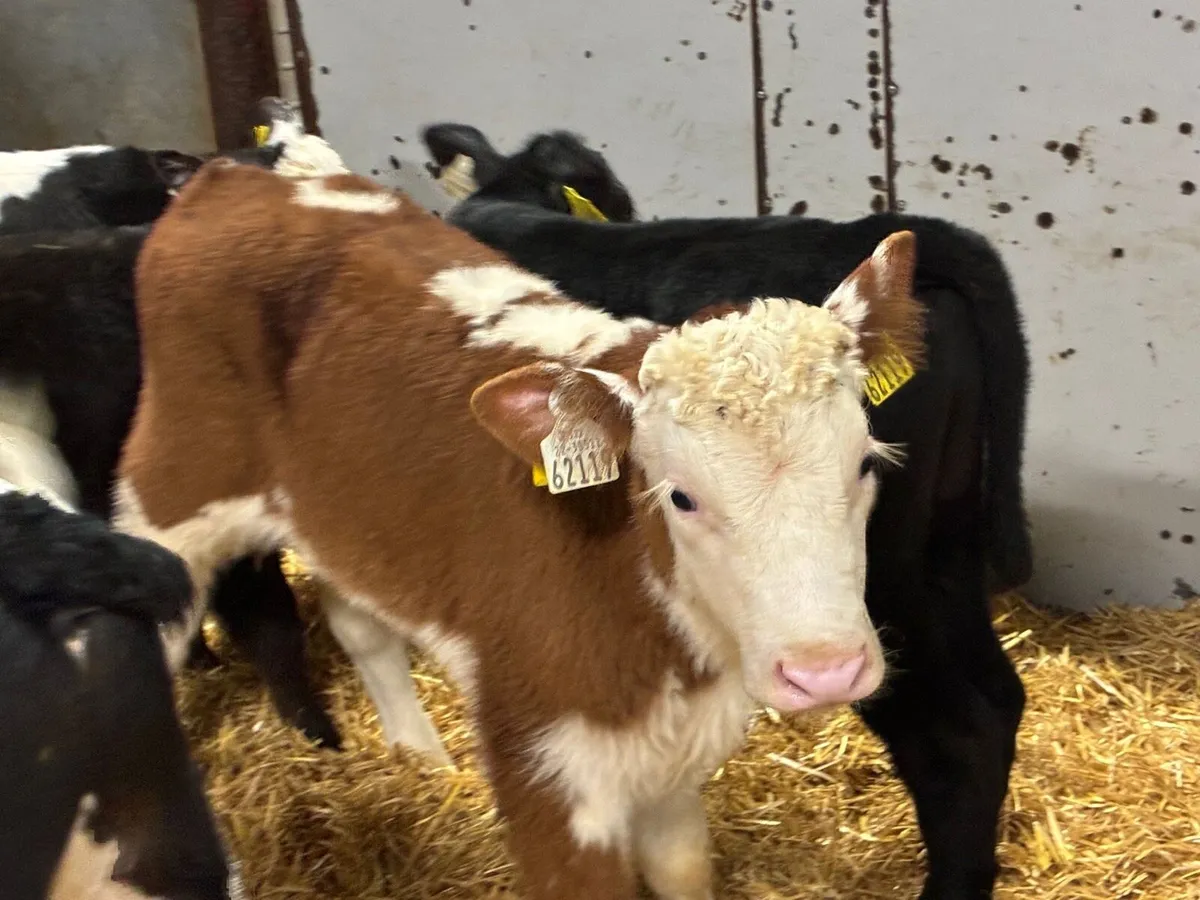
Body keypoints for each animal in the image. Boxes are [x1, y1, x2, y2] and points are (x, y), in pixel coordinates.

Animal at [111, 157, 925, 899]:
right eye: (680, 497)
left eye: (863, 464)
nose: (825, 670)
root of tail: (232, 173)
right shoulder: (546, 767)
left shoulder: (672, 765)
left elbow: (684, 871)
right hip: (167, 497)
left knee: (361, 623)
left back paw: (422, 762)